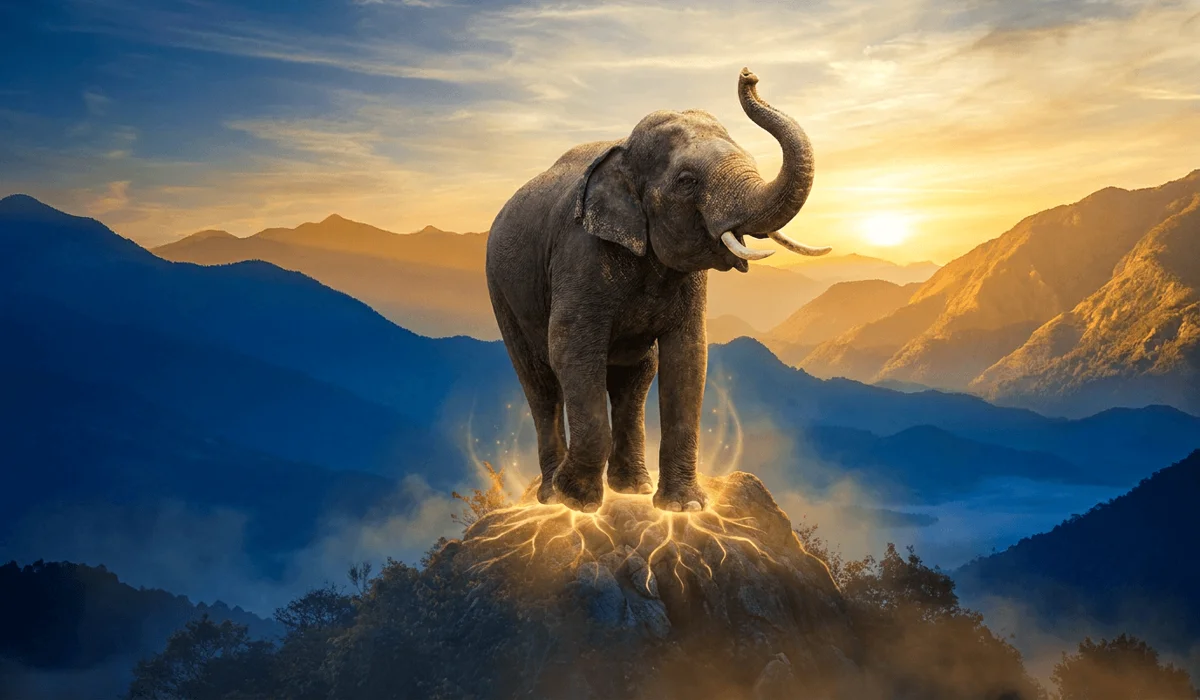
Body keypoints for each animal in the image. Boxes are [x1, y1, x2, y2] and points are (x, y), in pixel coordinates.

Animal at [485, 68, 830, 514]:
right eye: (686, 181)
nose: (748, 74)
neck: (622, 154)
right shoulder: (579, 256)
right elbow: (570, 350)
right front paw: (577, 502)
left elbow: (689, 357)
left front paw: (685, 508)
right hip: (501, 291)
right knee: (541, 384)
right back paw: (550, 496)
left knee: (635, 377)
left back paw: (631, 488)